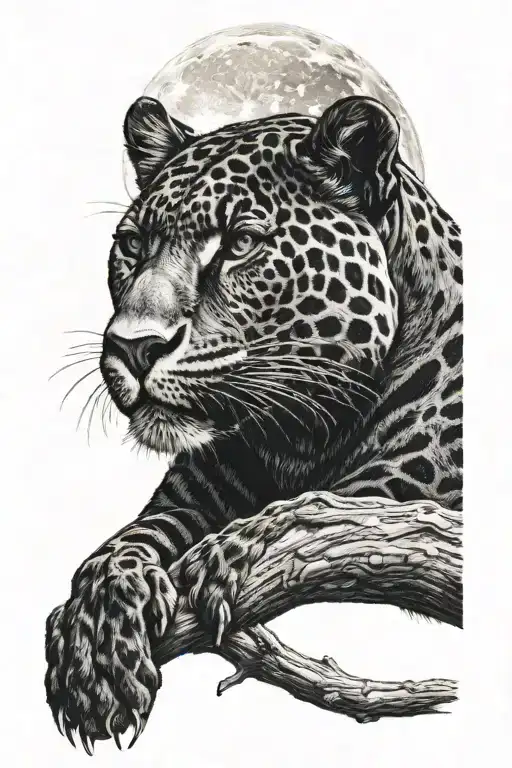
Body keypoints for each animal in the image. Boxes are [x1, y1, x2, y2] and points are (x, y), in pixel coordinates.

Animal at [45, 94, 462, 752]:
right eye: (132, 245)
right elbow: (123, 544)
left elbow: (335, 503)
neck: (294, 437)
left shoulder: (427, 477)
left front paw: (231, 550)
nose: (132, 347)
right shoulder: (190, 496)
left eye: (241, 243)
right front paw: (95, 640)